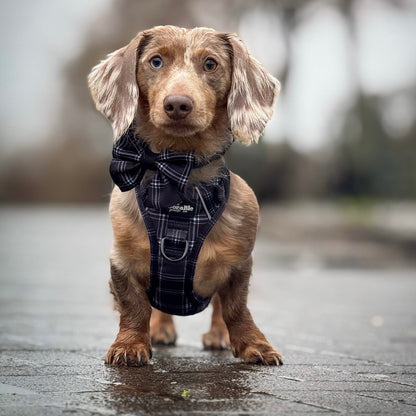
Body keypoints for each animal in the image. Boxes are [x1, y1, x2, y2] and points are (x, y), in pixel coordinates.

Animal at [88, 25, 282, 364]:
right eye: (155, 61)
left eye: (210, 64)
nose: (178, 104)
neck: (178, 174)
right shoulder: (122, 262)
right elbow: (134, 306)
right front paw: (130, 345)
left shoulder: (238, 265)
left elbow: (235, 308)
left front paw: (254, 344)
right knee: (158, 307)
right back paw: (160, 330)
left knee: (218, 308)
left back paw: (218, 336)